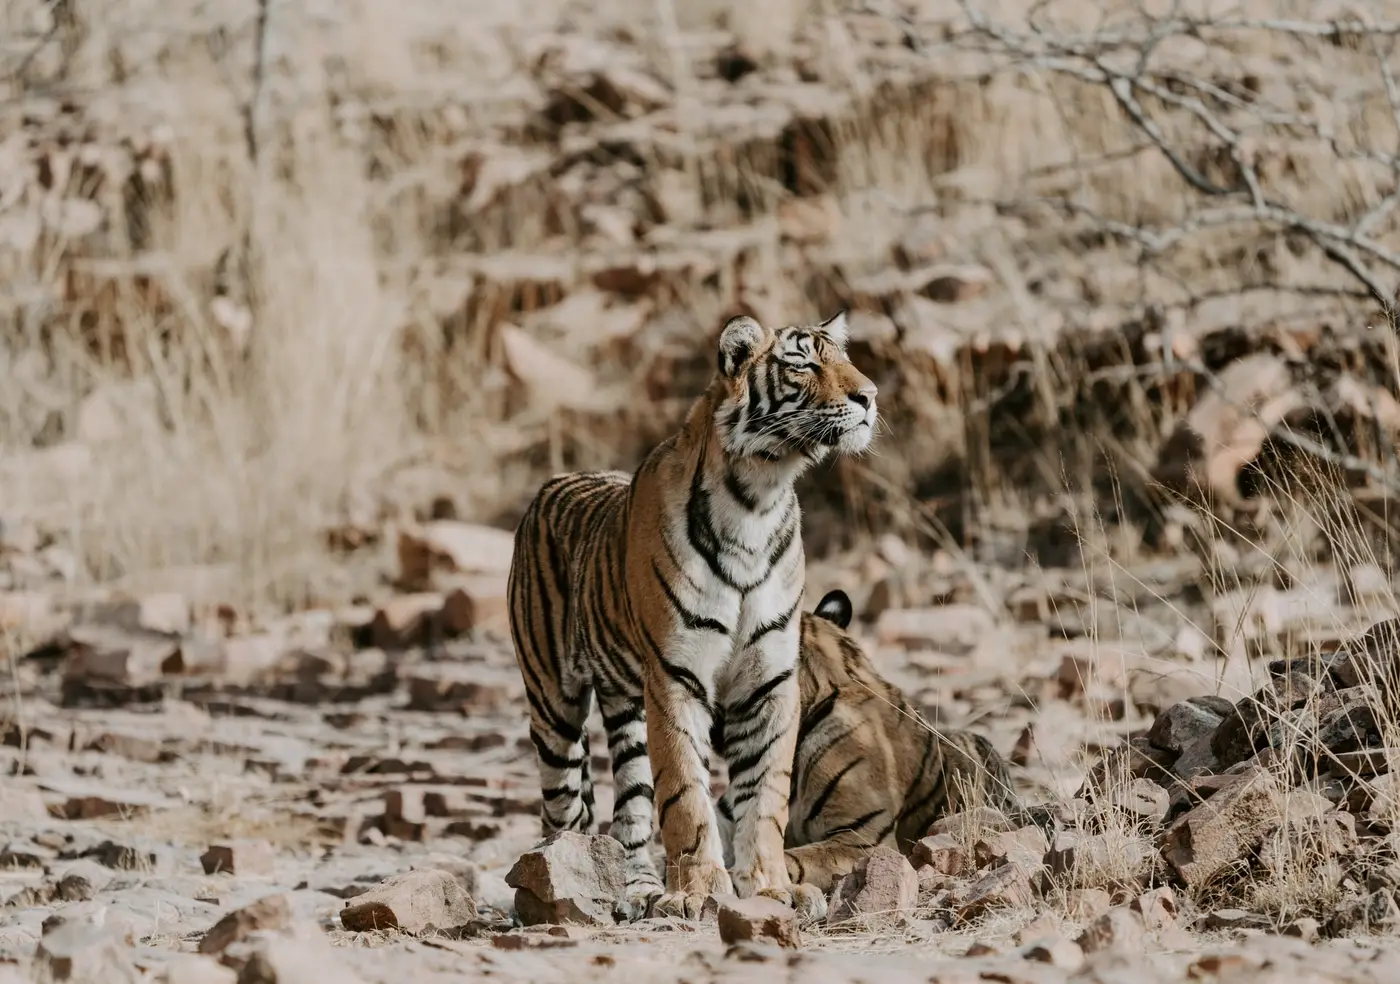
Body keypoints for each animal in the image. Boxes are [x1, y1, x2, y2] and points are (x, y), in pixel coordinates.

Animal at [508, 311, 878, 921]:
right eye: (802, 364)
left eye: (846, 360)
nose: (869, 396)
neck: (759, 498)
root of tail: (553, 483)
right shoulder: (676, 675)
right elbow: (685, 793)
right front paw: (701, 891)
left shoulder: (768, 679)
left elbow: (765, 796)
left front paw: (770, 887)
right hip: (553, 706)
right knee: (562, 811)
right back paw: (552, 894)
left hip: (628, 710)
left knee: (631, 809)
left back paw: (639, 891)